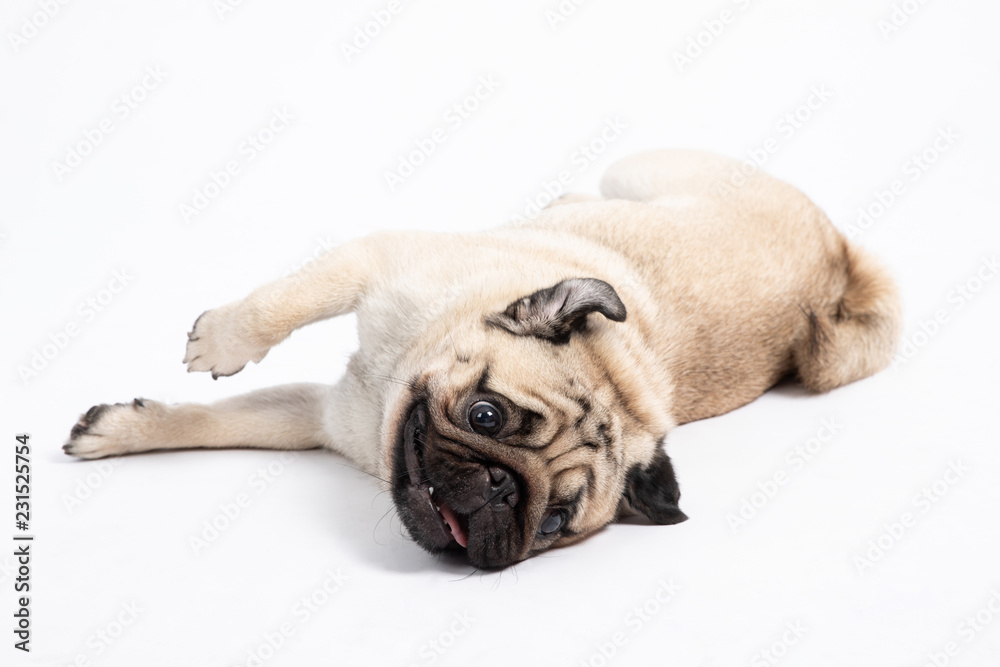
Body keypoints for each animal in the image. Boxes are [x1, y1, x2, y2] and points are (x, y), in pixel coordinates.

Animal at [66, 150, 904, 568]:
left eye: (555, 520)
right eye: (485, 414)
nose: (500, 486)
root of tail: (837, 266)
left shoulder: (325, 417)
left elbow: (238, 420)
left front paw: (128, 427)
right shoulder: (365, 266)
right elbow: (271, 323)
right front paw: (209, 352)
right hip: (647, 165)